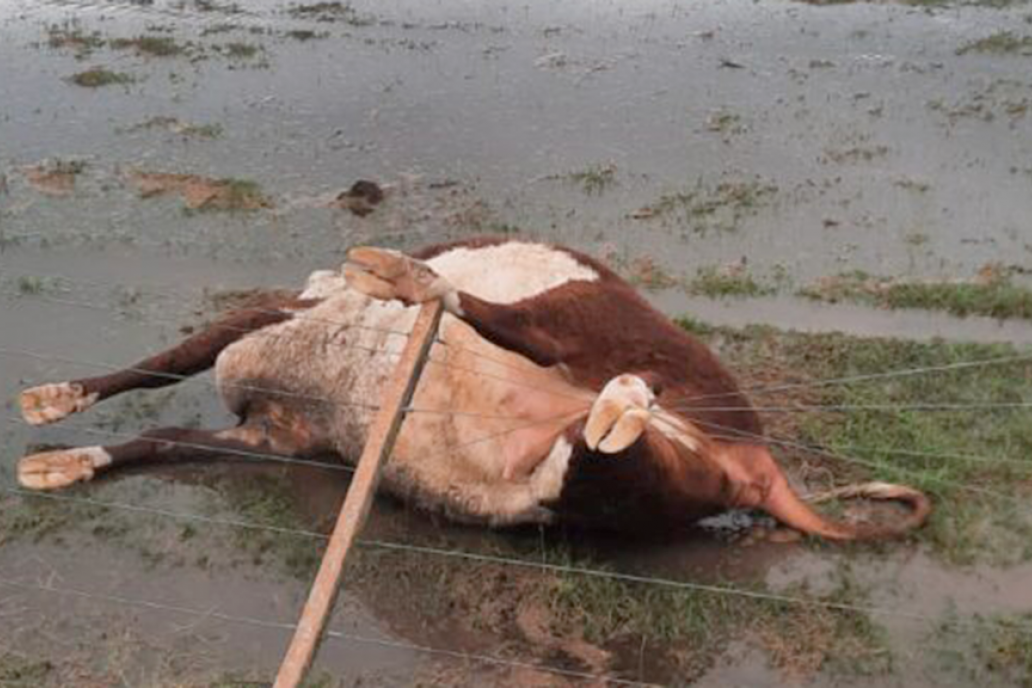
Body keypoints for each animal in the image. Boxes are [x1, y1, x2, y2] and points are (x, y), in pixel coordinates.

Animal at [16, 239, 937, 540]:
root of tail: (754, 453)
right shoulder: (275, 434)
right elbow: (163, 437)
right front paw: (67, 456)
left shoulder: (271, 317)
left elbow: (166, 359)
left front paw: (54, 398)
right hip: (598, 491)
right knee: (605, 453)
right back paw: (617, 409)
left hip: (583, 314)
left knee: (510, 323)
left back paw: (405, 276)